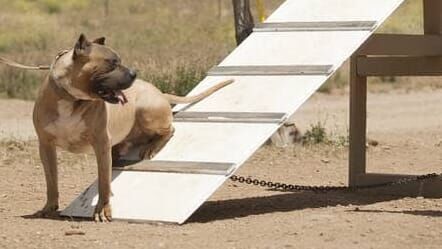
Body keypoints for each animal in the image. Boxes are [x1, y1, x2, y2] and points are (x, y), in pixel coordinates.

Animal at [32, 34, 233, 222]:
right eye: (112, 62)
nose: (134, 73)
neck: (71, 99)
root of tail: (160, 93)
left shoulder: (101, 144)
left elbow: (104, 183)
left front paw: (102, 210)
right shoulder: (45, 146)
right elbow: (51, 181)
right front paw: (49, 208)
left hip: (146, 111)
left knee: (170, 130)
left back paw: (151, 147)